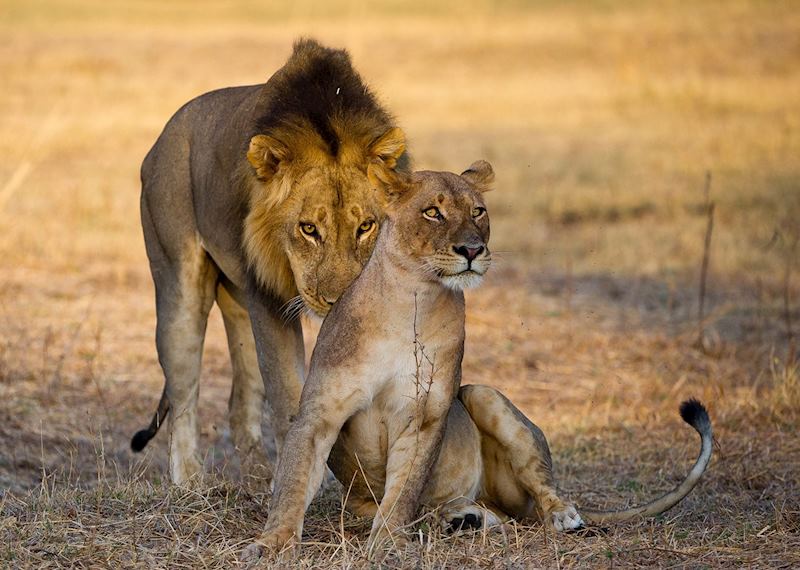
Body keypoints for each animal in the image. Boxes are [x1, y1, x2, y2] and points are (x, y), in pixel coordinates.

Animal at [130, 39, 410, 485]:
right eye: (308, 229)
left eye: (366, 226)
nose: (335, 301)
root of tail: (161, 139)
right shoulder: (268, 296)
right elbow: (288, 392)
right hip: (178, 285)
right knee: (182, 389)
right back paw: (189, 480)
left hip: (239, 304)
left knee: (241, 398)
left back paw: (257, 470)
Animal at [244, 161, 713, 558]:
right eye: (433, 212)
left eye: (478, 212)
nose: (472, 249)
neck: (410, 299)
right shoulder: (319, 412)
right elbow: (292, 484)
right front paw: (270, 545)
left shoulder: (426, 415)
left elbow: (403, 492)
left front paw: (388, 544)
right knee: (485, 513)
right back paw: (462, 518)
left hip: (484, 396)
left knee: (540, 493)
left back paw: (560, 515)